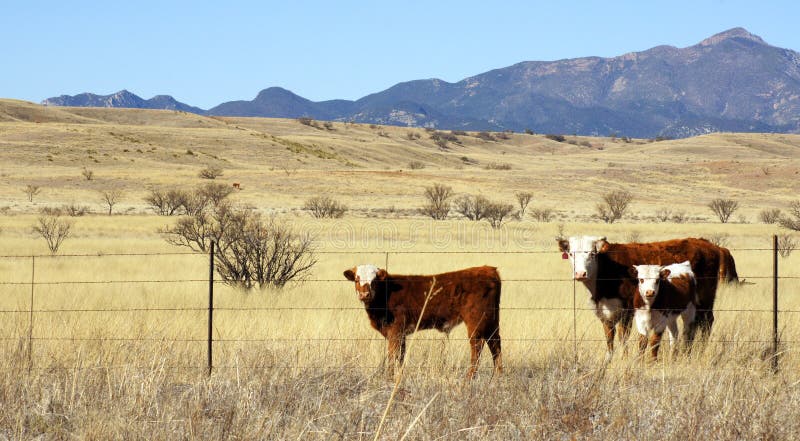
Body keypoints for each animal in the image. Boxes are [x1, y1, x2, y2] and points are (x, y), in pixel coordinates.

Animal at [343, 264, 502, 380]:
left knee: (477, 346)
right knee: (495, 343)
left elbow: (392, 355)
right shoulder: (401, 333)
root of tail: (488, 269)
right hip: (491, 320)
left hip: (476, 321)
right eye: (357, 279)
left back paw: (470, 378)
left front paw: (389, 378)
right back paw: (497, 376)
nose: (364, 294)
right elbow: (401, 355)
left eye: (374, 281)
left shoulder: (395, 330)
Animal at [558, 236, 736, 359]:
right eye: (571, 254)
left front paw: (624, 358)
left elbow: (623, 336)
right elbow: (609, 337)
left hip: (705, 299)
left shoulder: (628, 310)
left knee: (706, 322)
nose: (580, 274)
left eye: (592, 254)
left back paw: (701, 349)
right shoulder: (605, 312)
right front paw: (609, 359)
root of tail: (710, 245)